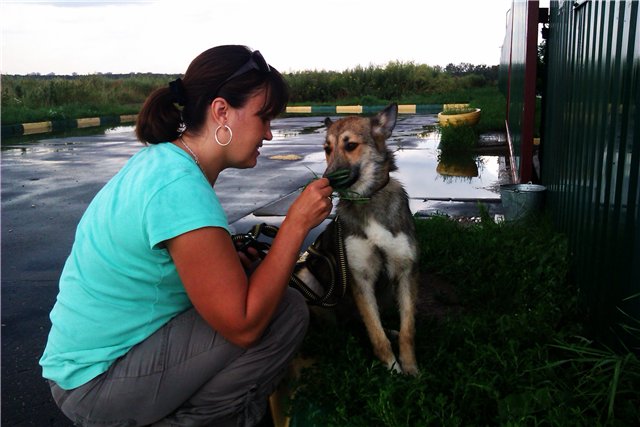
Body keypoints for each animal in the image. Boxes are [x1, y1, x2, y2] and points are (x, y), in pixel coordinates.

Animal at [298, 103, 422, 374]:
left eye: (351, 145)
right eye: (327, 149)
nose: (326, 180)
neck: (367, 199)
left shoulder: (405, 272)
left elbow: (408, 330)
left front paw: (410, 368)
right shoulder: (360, 278)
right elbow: (376, 334)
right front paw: (392, 368)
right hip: (306, 278)